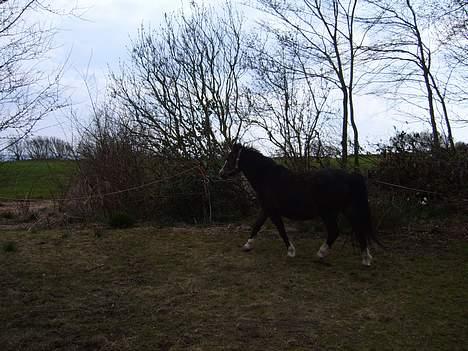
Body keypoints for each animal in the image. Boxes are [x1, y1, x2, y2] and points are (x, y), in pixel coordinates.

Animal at [219, 143, 380, 266]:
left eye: (230, 157)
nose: (221, 173)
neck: (267, 178)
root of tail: (350, 176)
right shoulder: (266, 209)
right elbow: (256, 225)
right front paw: (247, 245)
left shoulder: (273, 211)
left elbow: (281, 230)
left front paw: (291, 251)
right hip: (347, 210)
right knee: (359, 229)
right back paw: (366, 259)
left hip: (328, 213)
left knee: (335, 232)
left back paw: (321, 253)